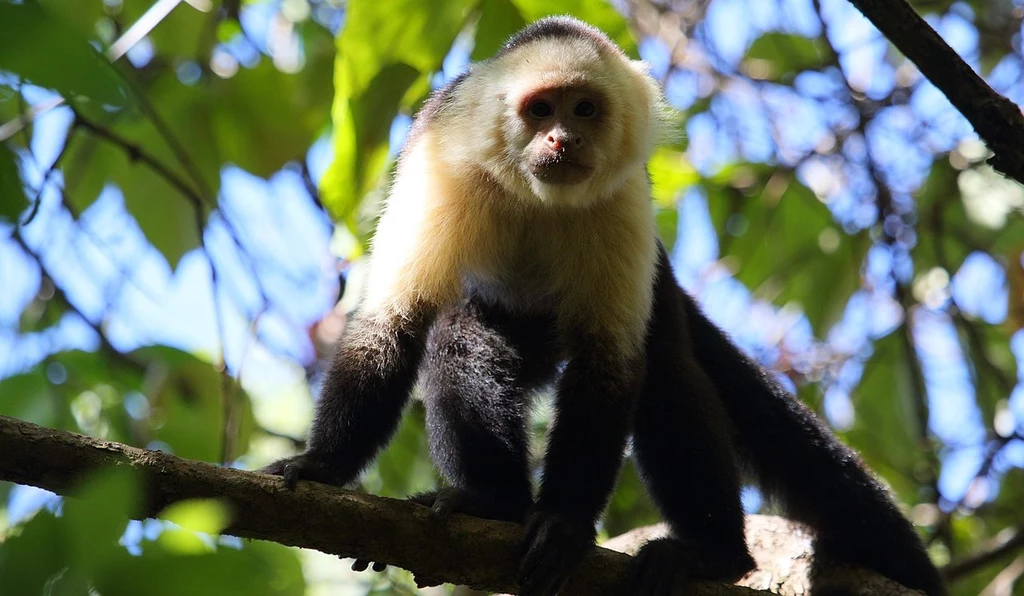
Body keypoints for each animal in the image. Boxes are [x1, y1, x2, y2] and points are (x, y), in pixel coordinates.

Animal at [262, 16, 942, 593]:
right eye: (540, 110)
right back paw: (496, 503)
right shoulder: (439, 161)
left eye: (585, 109)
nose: (562, 137)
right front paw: (323, 466)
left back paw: (716, 554)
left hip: (656, 286)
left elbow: (609, 363)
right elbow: (394, 322)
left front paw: (564, 523)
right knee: (463, 336)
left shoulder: (624, 197)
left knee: (665, 369)